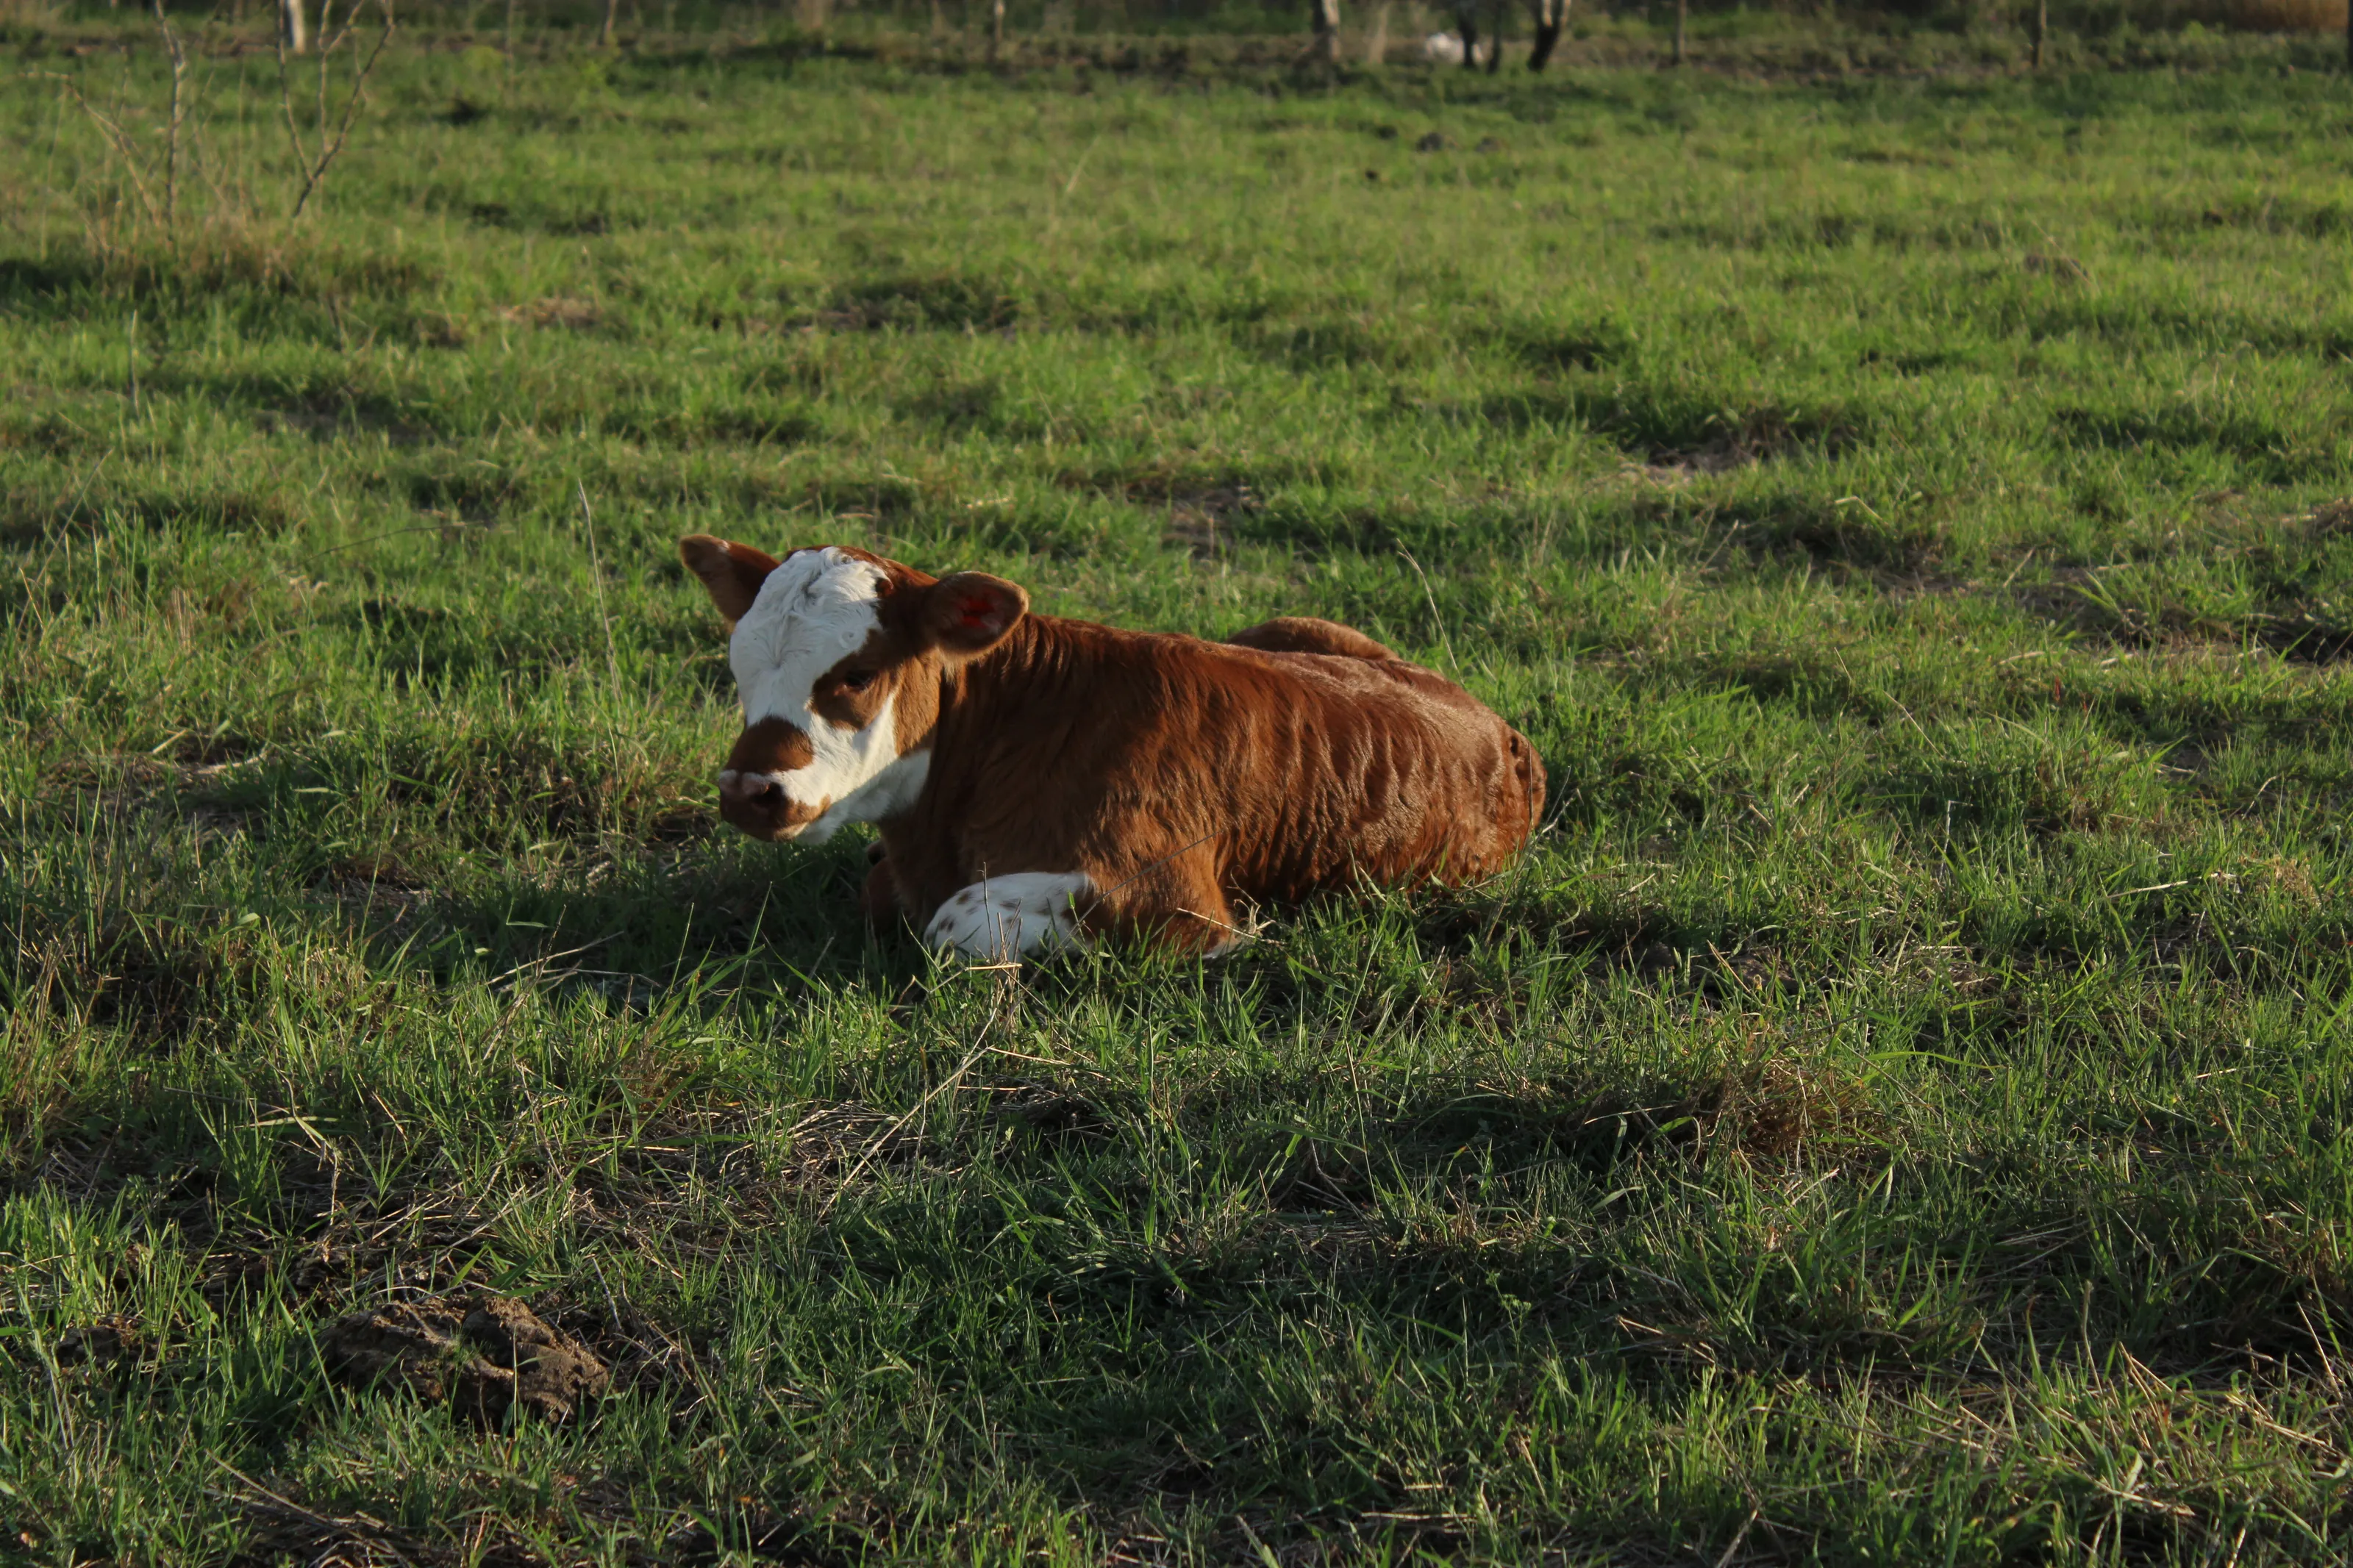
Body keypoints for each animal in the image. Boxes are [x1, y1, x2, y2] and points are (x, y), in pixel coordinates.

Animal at [678, 536, 1545, 962]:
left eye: (855, 674)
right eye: (738, 664)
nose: (749, 789)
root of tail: (1498, 729)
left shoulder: (1178, 894)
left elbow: (957, 926)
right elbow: (880, 890)